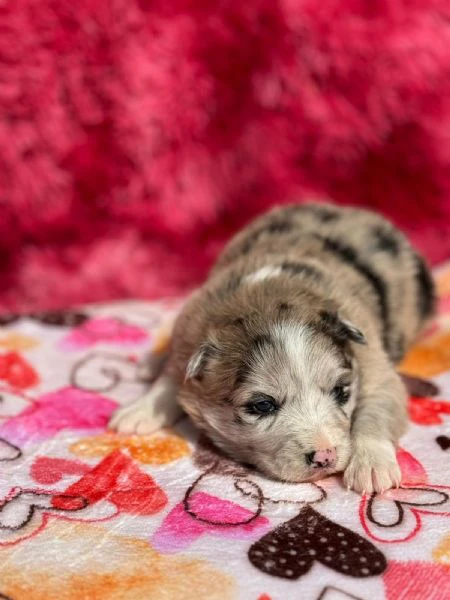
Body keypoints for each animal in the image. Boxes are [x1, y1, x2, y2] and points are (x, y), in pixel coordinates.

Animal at [110, 202, 436, 492]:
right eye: (263, 405)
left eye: (341, 392)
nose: (325, 457)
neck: (268, 294)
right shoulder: (191, 326)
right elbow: (173, 373)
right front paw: (140, 411)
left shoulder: (372, 357)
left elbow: (379, 405)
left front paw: (372, 465)